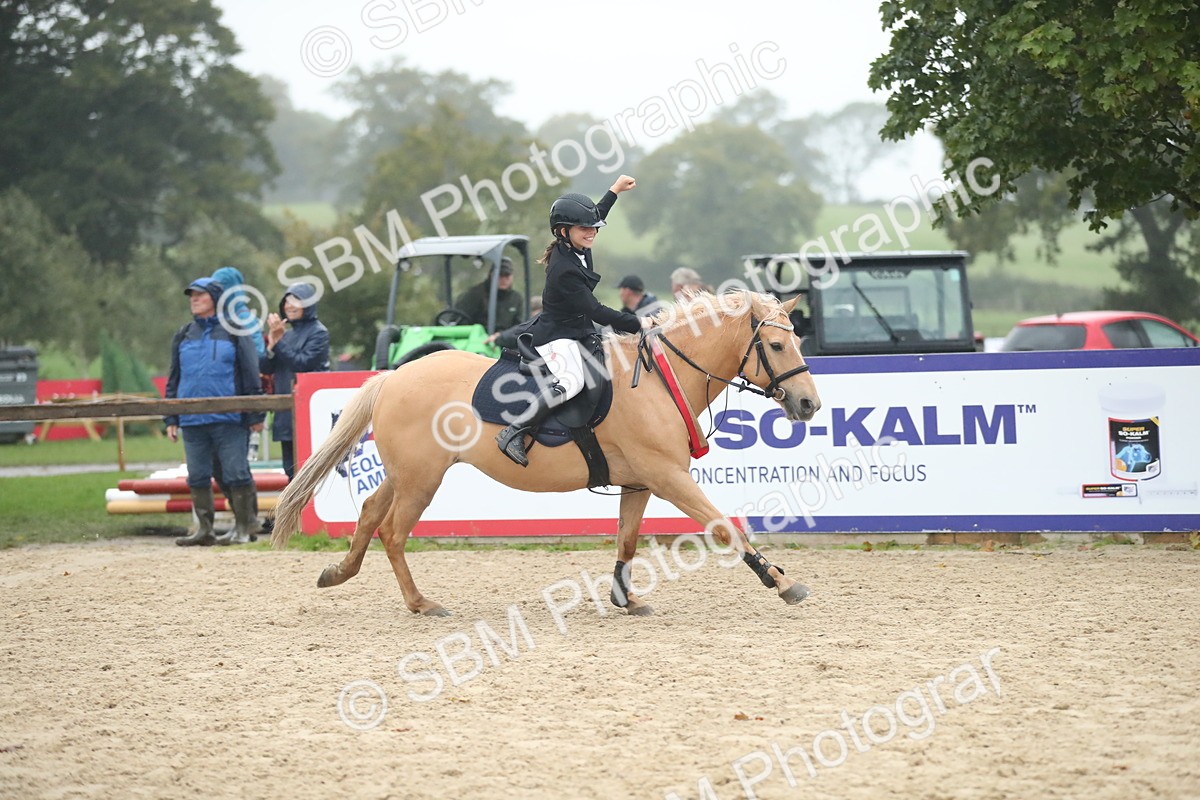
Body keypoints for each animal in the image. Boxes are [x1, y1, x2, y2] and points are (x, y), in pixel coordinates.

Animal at [271, 291, 822, 617]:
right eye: (776, 346)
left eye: (796, 339)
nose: (809, 404)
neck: (660, 379)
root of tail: (393, 376)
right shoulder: (668, 477)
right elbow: (727, 526)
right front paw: (781, 581)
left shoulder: (640, 482)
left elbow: (626, 541)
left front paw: (625, 599)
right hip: (422, 479)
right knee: (393, 531)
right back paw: (421, 603)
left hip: (408, 473)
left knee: (368, 513)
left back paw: (338, 573)